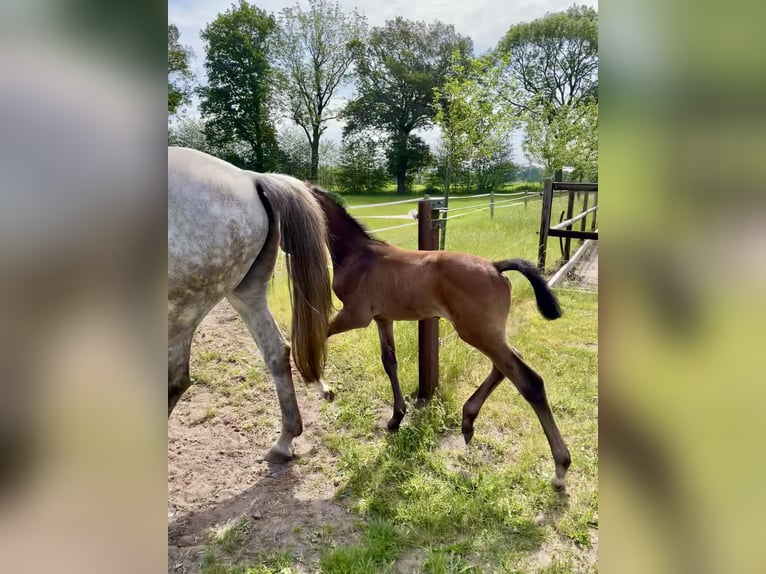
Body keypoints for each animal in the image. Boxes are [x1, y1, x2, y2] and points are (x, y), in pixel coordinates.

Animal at [168, 147, 332, 464]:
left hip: (180, 311)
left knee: (175, 381)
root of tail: (250, 178)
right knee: (276, 351)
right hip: (246, 293)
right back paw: (284, 441)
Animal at [310, 189, 568, 490]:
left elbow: (313, 337)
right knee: (507, 363)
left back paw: (560, 467)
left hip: (477, 332)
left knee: (529, 380)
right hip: (488, 332)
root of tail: (495, 266)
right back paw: (468, 420)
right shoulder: (382, 318)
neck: (357, 254)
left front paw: (320, 386)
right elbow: (389, 362)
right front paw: (396, 418)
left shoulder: (355, 315)